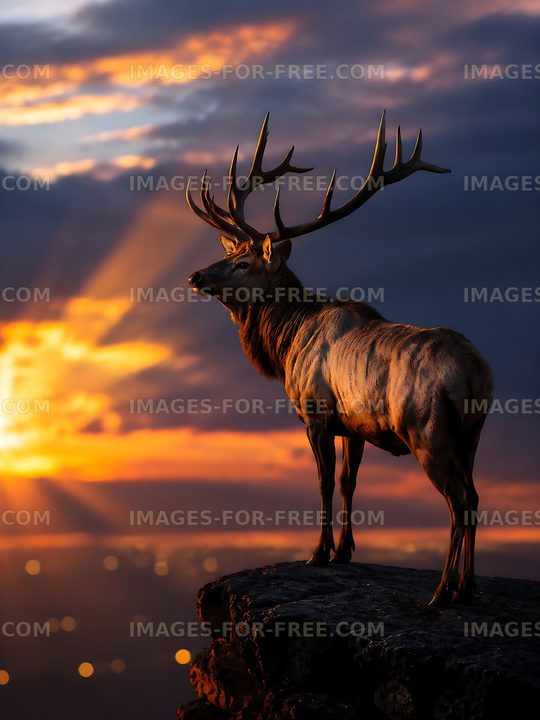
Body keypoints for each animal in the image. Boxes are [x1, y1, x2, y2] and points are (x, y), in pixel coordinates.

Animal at [186, 111, 493, 606]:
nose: (196, 275)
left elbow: (325, 481)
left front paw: (318, 552)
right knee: (476, 497)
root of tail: (478, 375)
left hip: (429, 431)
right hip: (472, 433)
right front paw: (346, 550)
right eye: (231, 253)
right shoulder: (356, 424)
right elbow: (350, 481)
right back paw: (467, 588)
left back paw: (442, 591)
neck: (287, 342)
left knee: (459, 501)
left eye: (243, 263)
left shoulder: (315, 412)